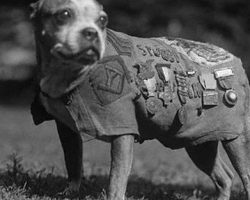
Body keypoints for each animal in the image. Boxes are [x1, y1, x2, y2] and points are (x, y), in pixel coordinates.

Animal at [30, 0, 250, 200]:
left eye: (103, 20)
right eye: (64, 14)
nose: (91, 32)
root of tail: (234, 59)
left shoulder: (122, 131)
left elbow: (116, 179)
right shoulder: (66, 129)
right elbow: (73, 163)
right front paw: (71, 192)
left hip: (235, 138)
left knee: (245, 175)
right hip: (198, 141)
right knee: (224, 177)